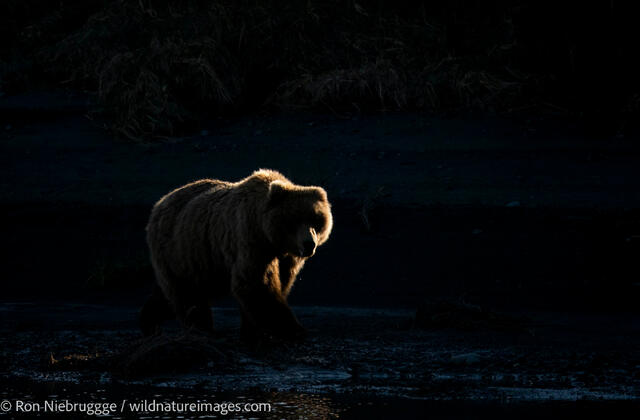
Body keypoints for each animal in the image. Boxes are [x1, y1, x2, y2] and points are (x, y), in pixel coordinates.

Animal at [140, 169, 333, 341]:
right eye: (295, 220)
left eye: (317, 220)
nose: (309, 244)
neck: (272, 239)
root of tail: (158, 204)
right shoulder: (250, 240)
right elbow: (256, 283)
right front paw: (292, 329)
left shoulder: (286, 258)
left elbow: (279, 283)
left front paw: (252, 330)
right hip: (181, 250)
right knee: (187, 294)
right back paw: (201, 328)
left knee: (170, 295)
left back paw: (150, 320)